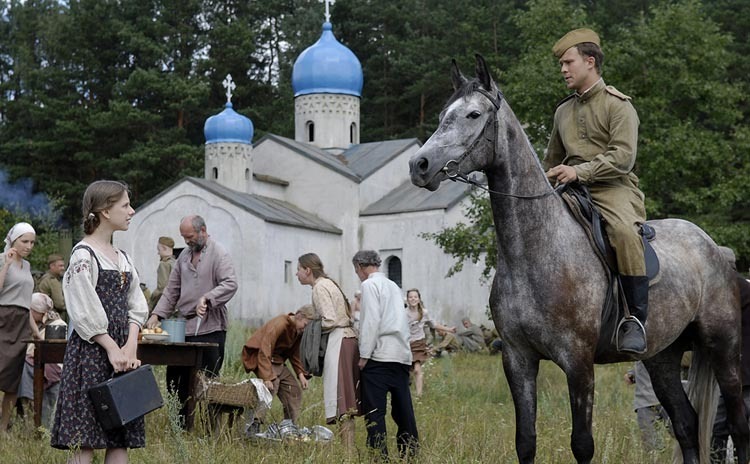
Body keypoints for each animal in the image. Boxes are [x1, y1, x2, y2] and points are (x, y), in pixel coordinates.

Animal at [412, 55, 750, 464]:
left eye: (473, 114)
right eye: (443, 114)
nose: (419, 165)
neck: (534, 251)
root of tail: (712, 248)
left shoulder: (578, 362)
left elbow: (582, 444)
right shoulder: (518, 359)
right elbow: (525, 441)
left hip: (724, 348)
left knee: (738, 423)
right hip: (662, 358)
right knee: (686, 425)